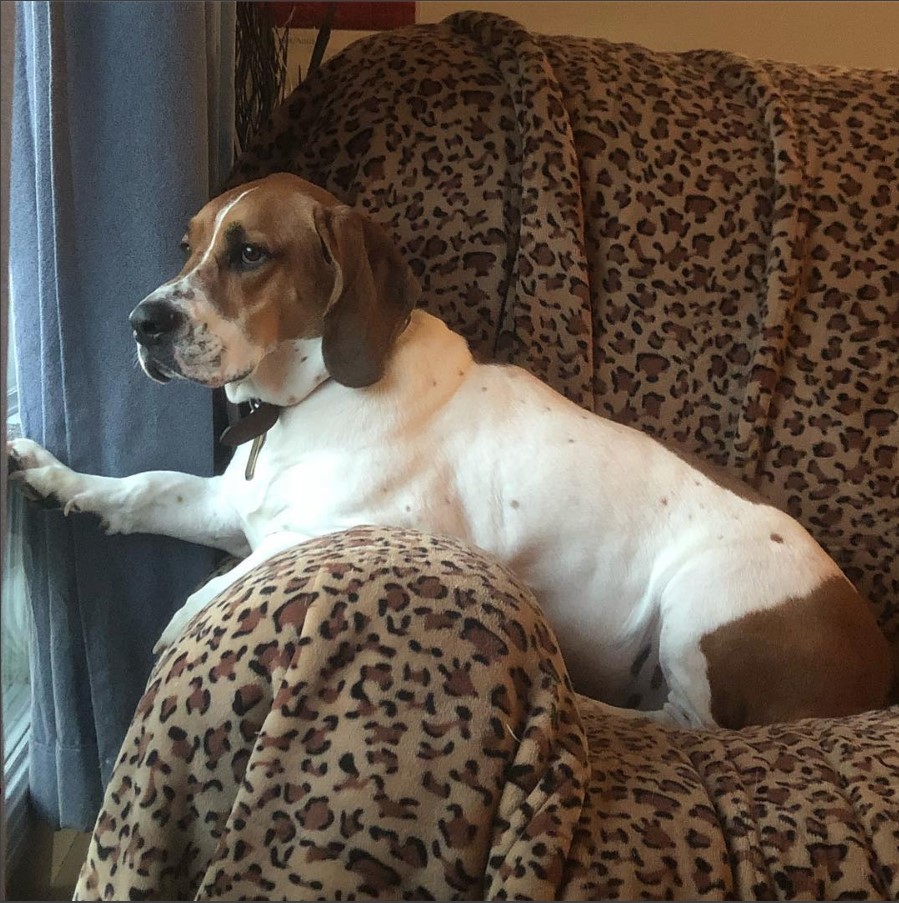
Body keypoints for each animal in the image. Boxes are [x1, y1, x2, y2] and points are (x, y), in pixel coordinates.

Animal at [7, 173, 892, 732]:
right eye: (186, 243)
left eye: (251, 252)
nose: (141, 321)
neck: (316, 395)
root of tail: (875, 664)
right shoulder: (231, 502)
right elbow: (142, 488)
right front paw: (53, 475)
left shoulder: (379, 524)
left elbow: (260, 561)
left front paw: (186, 615)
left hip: (696, 607)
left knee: (691, 724)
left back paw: (584, 700)